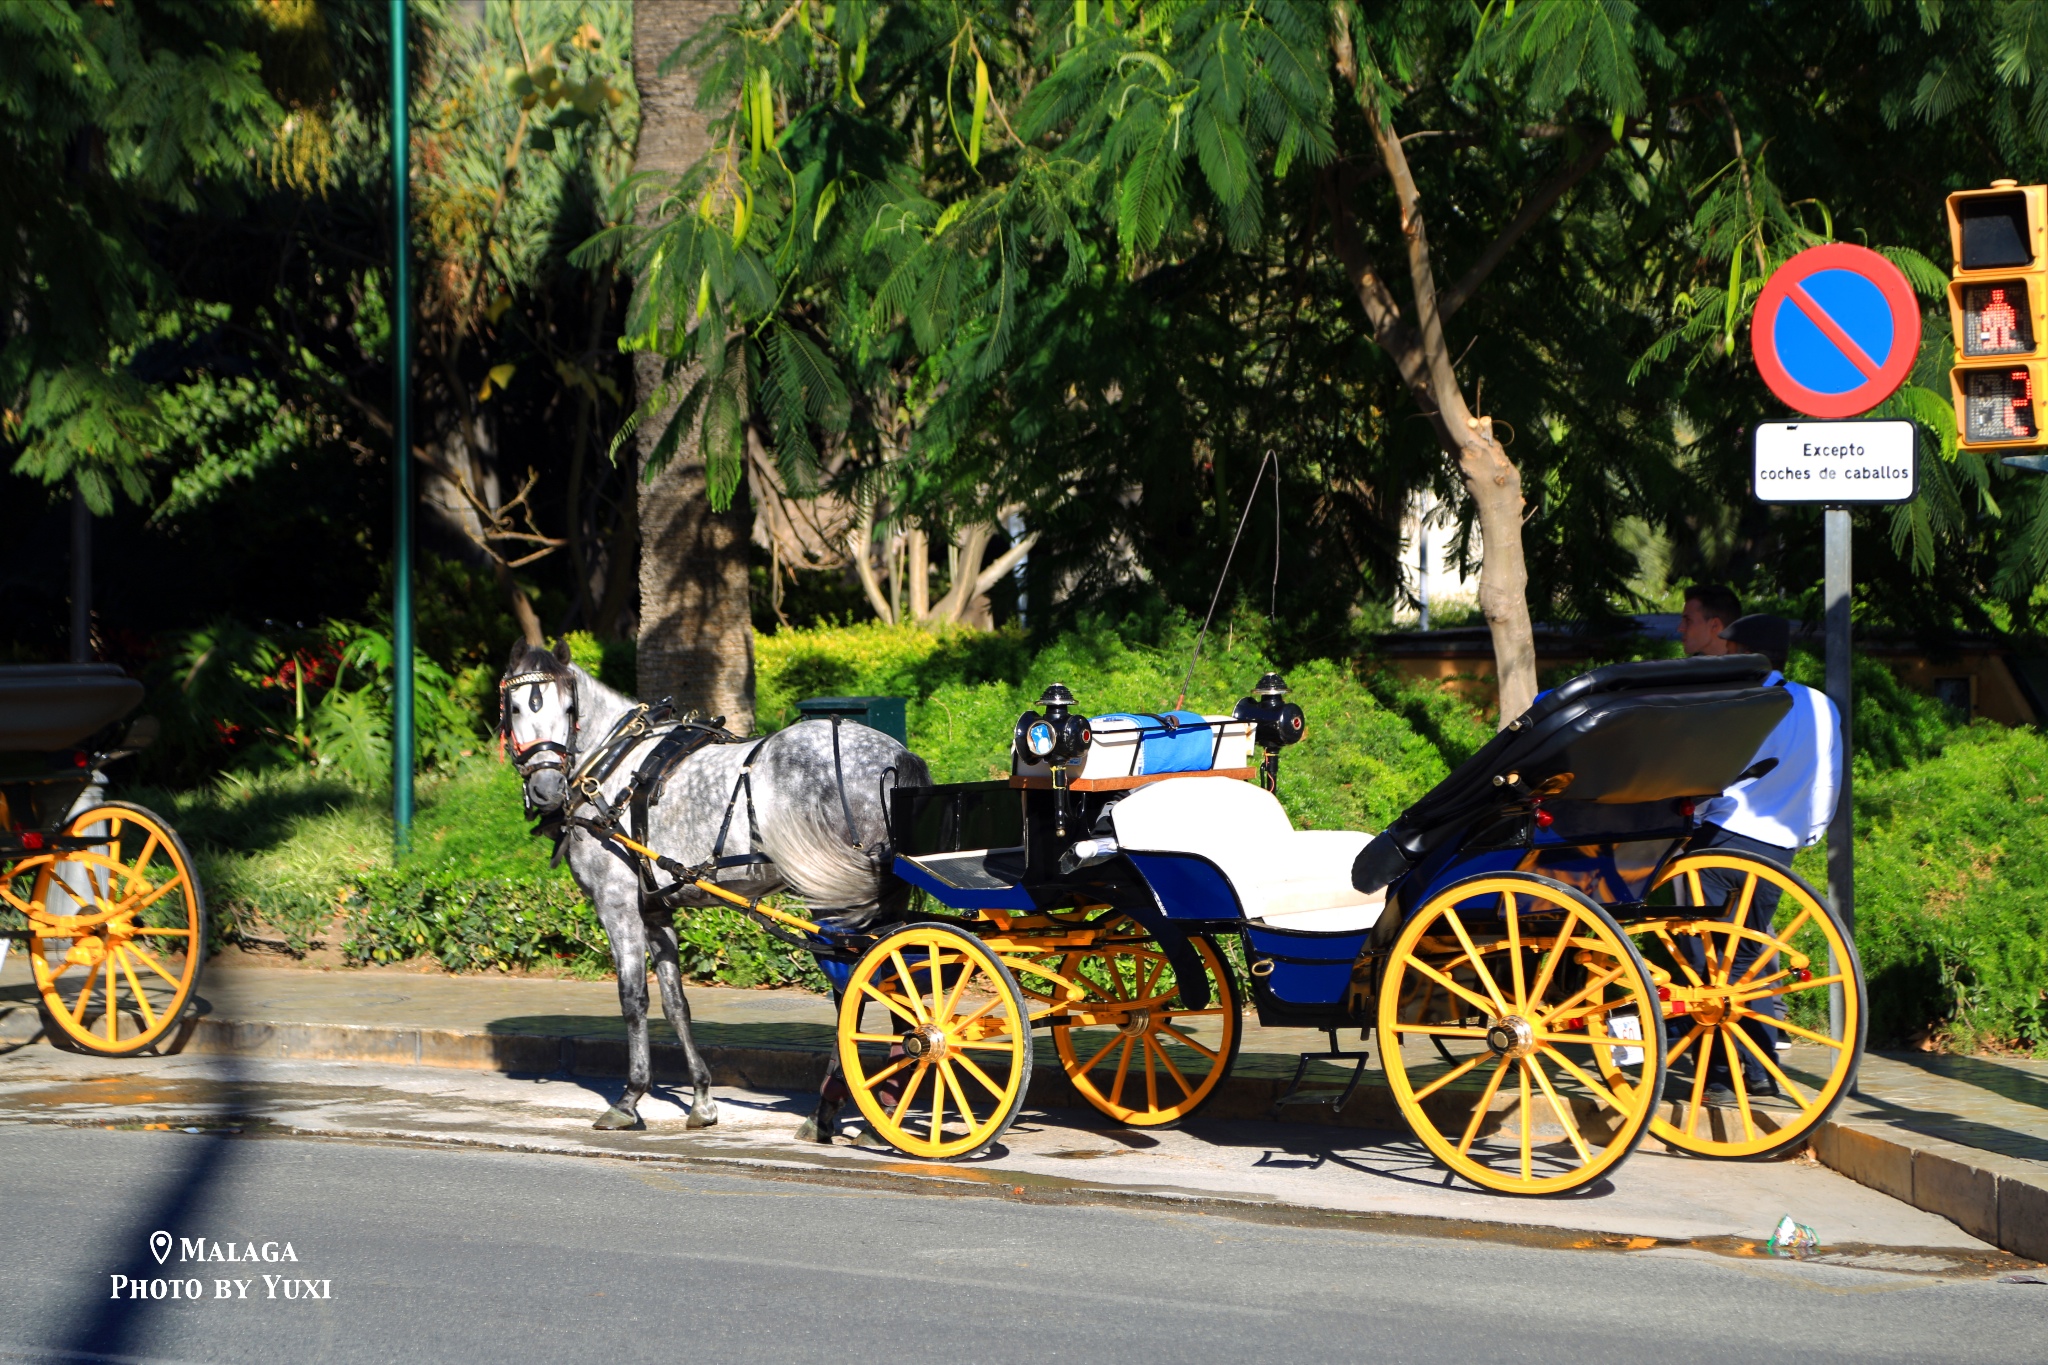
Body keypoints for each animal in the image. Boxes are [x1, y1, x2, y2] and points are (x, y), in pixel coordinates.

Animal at [503, 646, 929, 1137]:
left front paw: (630, 1097)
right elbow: (675, 1004)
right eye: (516, 709)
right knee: (896, 984)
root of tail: (896, 755)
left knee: (852, 993)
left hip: (836, 903)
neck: (612, 765)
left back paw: (828, 1108)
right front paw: (702, 1098)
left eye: (569, 709)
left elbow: (633, 999)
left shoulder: (616, 905)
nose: (546, 787)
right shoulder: (655, 909)